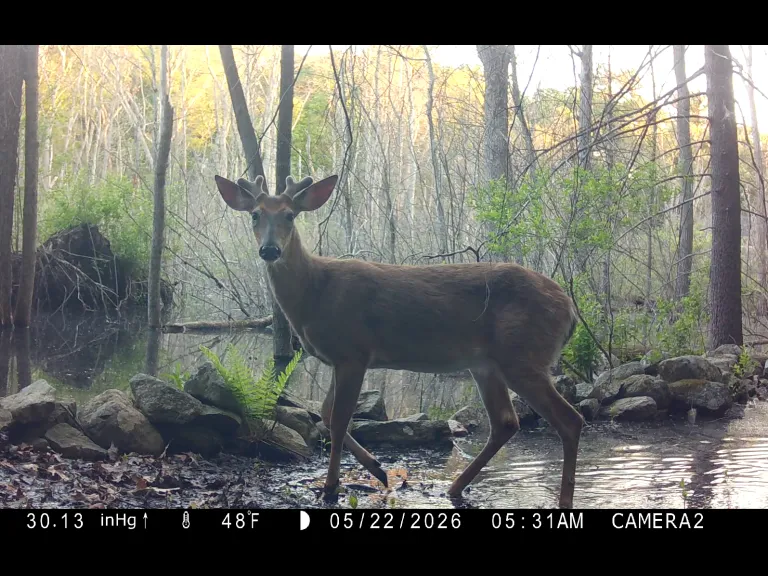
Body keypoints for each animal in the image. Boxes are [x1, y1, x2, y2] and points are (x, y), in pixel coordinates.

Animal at [214, 171, 585, 509]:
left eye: (290, 215)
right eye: (255, 214)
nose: (270, 249)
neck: (314, 293)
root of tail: (569, 309)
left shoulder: (353, 351)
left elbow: (339, 419)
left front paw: (332, 487)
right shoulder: (337, 358)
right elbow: (326, 413)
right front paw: (378, 469)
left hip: (523, 355)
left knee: (569, 420)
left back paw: (564, 501)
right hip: (486, 365)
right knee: (506, 422)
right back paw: (454, 488)